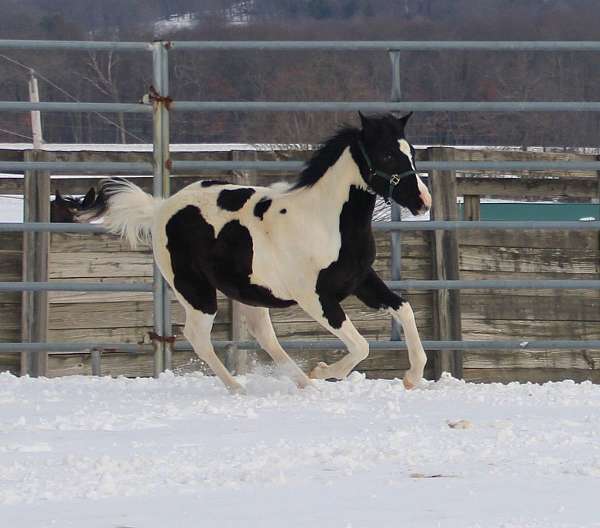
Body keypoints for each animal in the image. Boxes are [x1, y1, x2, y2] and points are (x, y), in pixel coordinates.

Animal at [79, 112, 432, 392]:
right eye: (387, 155)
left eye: (411, 151)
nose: (422, 201)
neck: (325, 220)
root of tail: (160, 208)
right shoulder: (316, 298)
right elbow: (361, 346)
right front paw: (322, 370)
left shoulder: (361, 281)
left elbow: (404, 309)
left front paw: (412, 377)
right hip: (196, 292)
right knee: (198, 336)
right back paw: (240, 388)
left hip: (249, 292)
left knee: (263, 335)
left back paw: (302, 384)